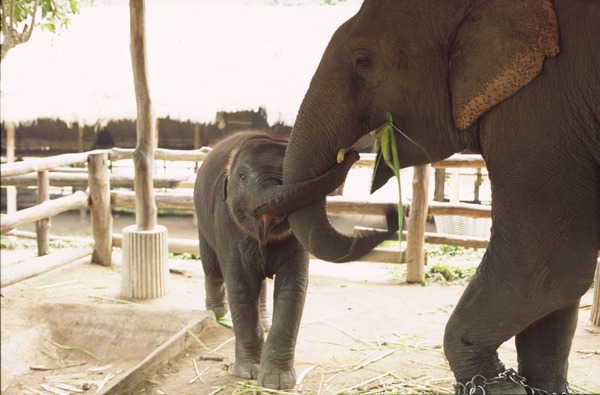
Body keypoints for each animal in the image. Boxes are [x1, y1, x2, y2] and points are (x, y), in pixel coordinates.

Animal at [195, 131, 358, 390]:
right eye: (242, 176)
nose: (352, 153)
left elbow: (293, 288)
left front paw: (276, 383)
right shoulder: (226, 223)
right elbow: (240, 287)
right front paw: (248, 373)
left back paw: (264, 321)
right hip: (203, 220)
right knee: (213, 270)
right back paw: (217, 312)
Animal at [268, 0, 600, 395]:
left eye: (364, 61)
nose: (351, 155)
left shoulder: (540, 112)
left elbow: (545, 265)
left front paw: (493, 383)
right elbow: (557, 288)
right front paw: (525, 385)